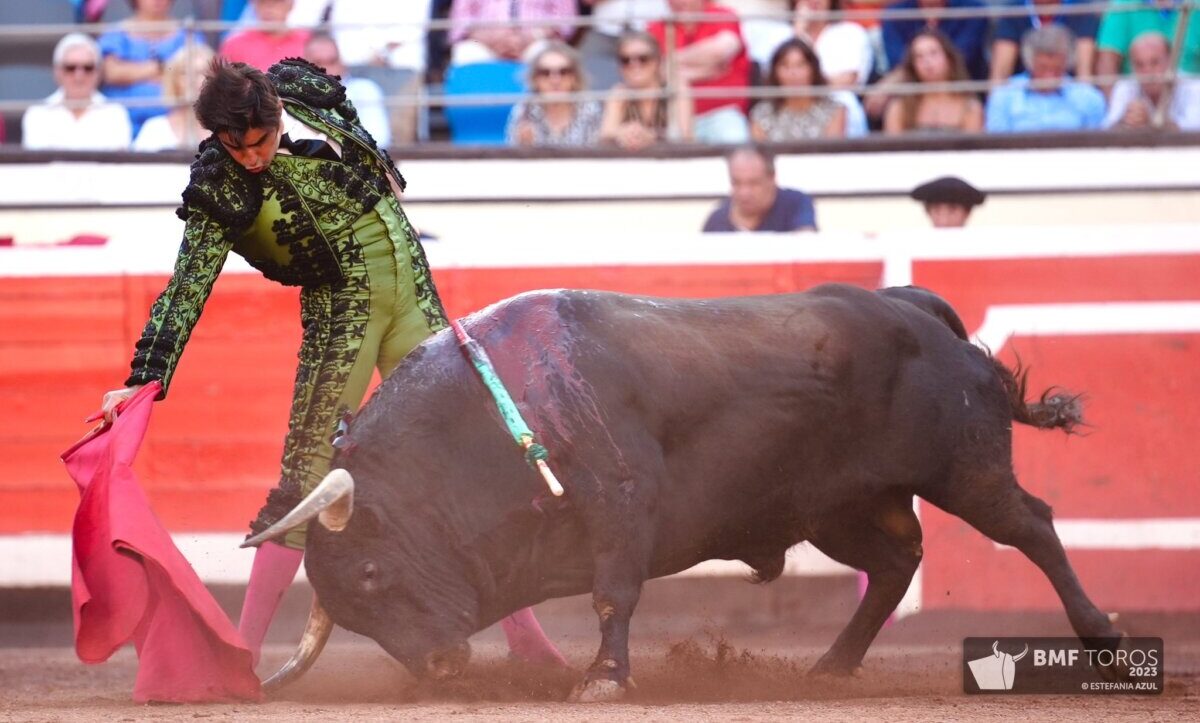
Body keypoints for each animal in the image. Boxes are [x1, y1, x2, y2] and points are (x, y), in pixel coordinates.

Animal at [253, 283, 1123, 696]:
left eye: (371, 573)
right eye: (355, 616)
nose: (438, 666)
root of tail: (914, 310)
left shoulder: (620, 504)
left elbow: (613, 595)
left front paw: (603, 679)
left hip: (964, 470)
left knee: (1032, 526)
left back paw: (1104, 638)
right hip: (834, 506)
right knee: (894, 563)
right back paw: (831, 666)